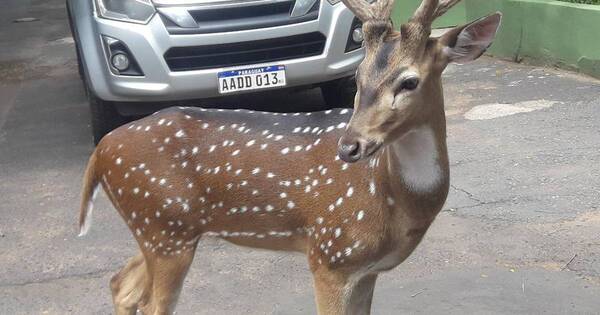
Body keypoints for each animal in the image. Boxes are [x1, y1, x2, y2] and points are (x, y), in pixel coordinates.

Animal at [77, 1, 502, 314]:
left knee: (121, 284)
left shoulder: (365, 270)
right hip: (165, 229)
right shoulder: (330, 255)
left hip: (160, 229)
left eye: (409, 81)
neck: (393, 200)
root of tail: (100, 151)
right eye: (358, 75)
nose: (349, 147)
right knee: (150, 302)